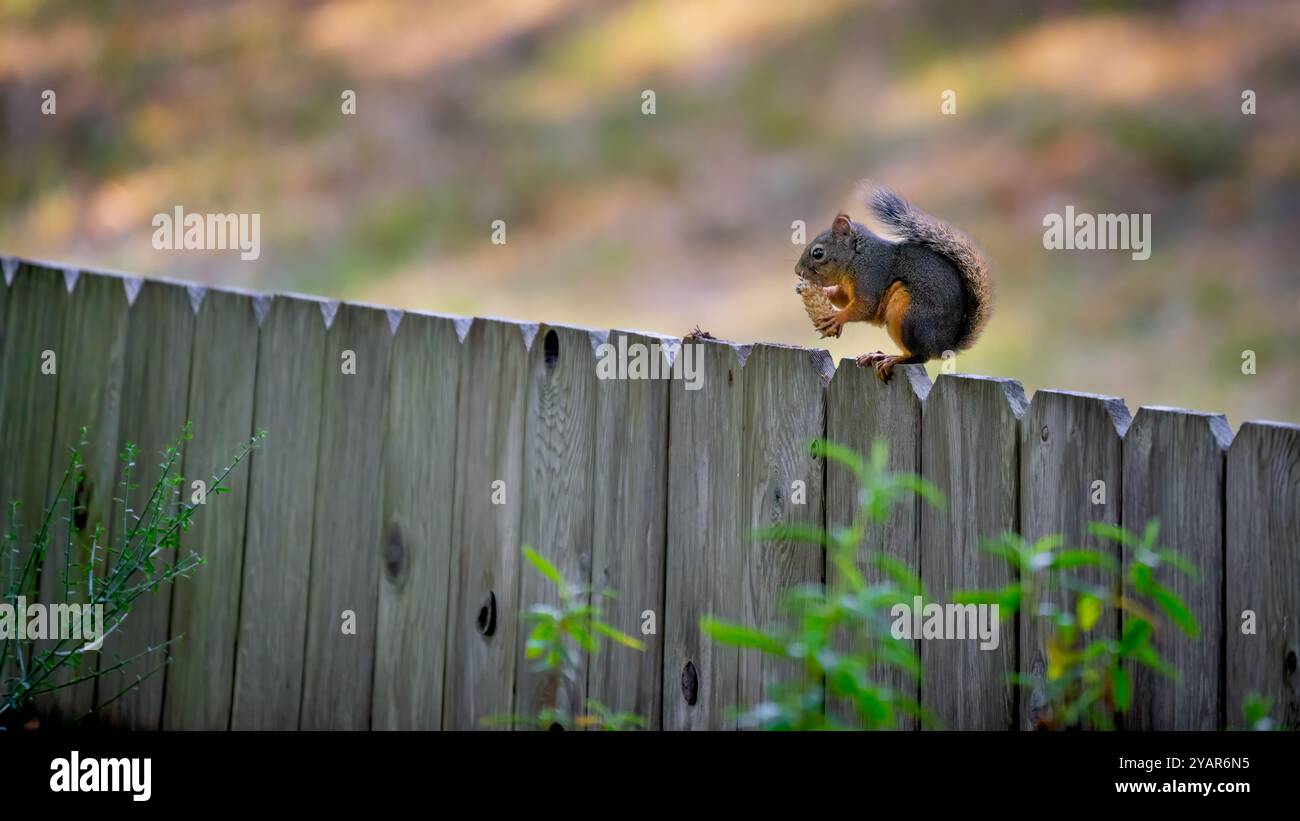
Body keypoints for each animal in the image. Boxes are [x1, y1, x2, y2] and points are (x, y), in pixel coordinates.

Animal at [794, 184, 992, 381]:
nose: (797, 271)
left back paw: (893, 359)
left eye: (818, 253)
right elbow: (843, 298)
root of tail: (944, 346)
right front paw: (815, 291)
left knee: (919, 356)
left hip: (909, 317)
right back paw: (877, 355)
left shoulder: (871, 276)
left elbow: (864, 307)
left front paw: (837, 317)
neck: (857, 258)